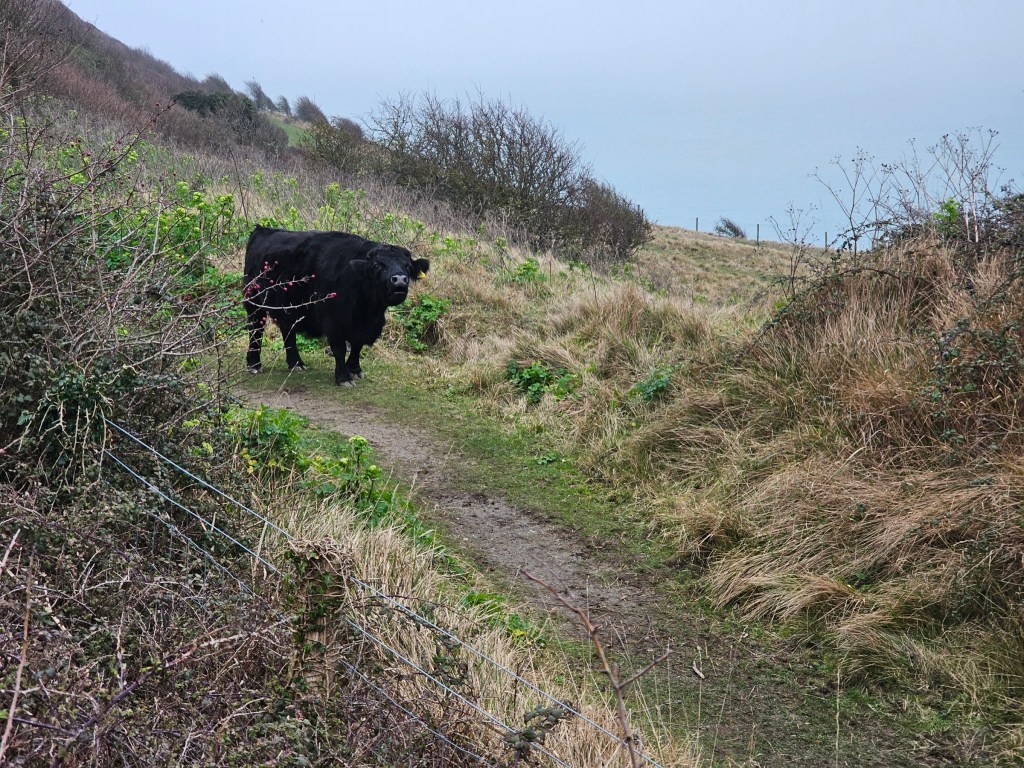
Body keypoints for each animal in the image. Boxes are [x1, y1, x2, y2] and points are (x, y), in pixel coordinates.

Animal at [243, 226, 430, 385]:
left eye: (408, 266)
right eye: (378, 265)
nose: (400, 279)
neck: (367, 310)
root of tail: (262, 229)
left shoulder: (366, 326)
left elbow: (357, 346)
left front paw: (354, 369)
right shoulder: (333, 321)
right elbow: (339, 349)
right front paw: (343, 377)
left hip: (288, 308)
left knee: (288, 330)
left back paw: (296, 363)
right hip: (253, 302)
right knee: (256, 330)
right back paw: (254, 365)